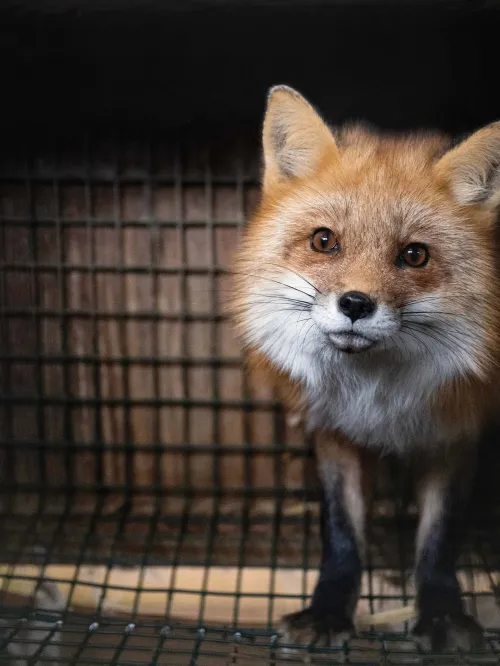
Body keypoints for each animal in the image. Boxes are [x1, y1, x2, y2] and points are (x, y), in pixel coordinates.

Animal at [231, 85, 500, 652]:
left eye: (415, 255)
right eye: (323, 241)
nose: (356, 304)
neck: (375, 401)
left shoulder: (456, 433)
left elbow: (439, 540)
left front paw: (441, 614)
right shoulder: (335, 434)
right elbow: (341, 537)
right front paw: (328, 612)